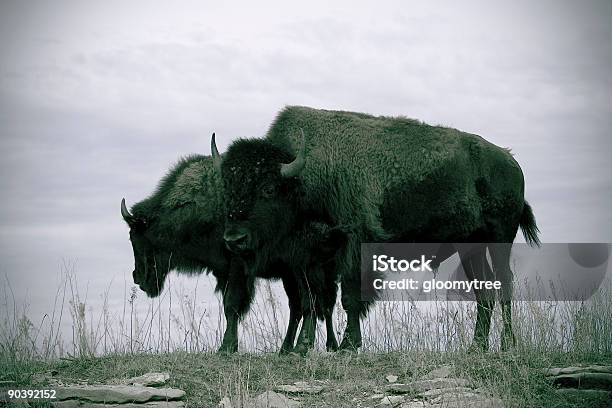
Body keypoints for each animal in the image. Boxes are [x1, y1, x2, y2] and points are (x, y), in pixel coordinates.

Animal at [119, 151, 344, 352]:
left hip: (310, 270)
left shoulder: (237, 268)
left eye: (136, 237)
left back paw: (325, 346)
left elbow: (232, 304)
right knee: (302, 306)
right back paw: (288, 348)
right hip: (291, 275)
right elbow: (230, 305)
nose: (138, 277)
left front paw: (226, 347)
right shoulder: (225, 271)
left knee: (321, 304)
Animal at [212, 107, 540, 352]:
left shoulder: (354, 247)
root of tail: (511, 162)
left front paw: (348, 346)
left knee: (504, 284)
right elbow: (313, 301)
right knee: (484, 291)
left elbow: (349, 297)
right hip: (470, 246)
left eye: (267, 189)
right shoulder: (312, 259)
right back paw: (476, 347)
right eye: (227, 188)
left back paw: (507, 345)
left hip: (500, 238)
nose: (234, 239)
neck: (303, 176)